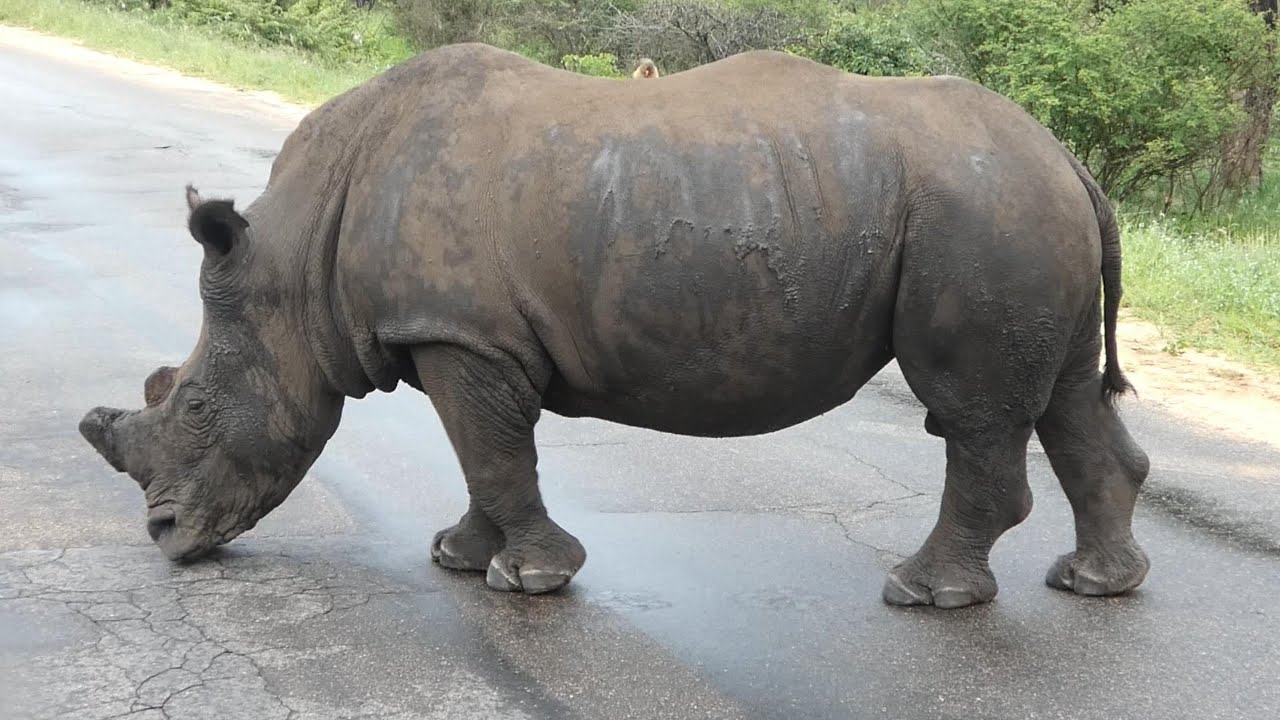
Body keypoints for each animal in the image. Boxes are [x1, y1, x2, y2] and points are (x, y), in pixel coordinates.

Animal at [78, 43, 1152, 608]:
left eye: (199, 405)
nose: (165, 539)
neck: (296, 265)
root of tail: (1067, 160)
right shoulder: (459, 337)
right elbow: (482, 456)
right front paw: (460, 557)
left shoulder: (459, 334)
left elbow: (495, 454)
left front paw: (528, 580)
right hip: (1014, 210)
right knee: (1061, 397)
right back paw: (1096, 583)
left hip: (984, 215)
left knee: (973, 409)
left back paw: (924, 595)